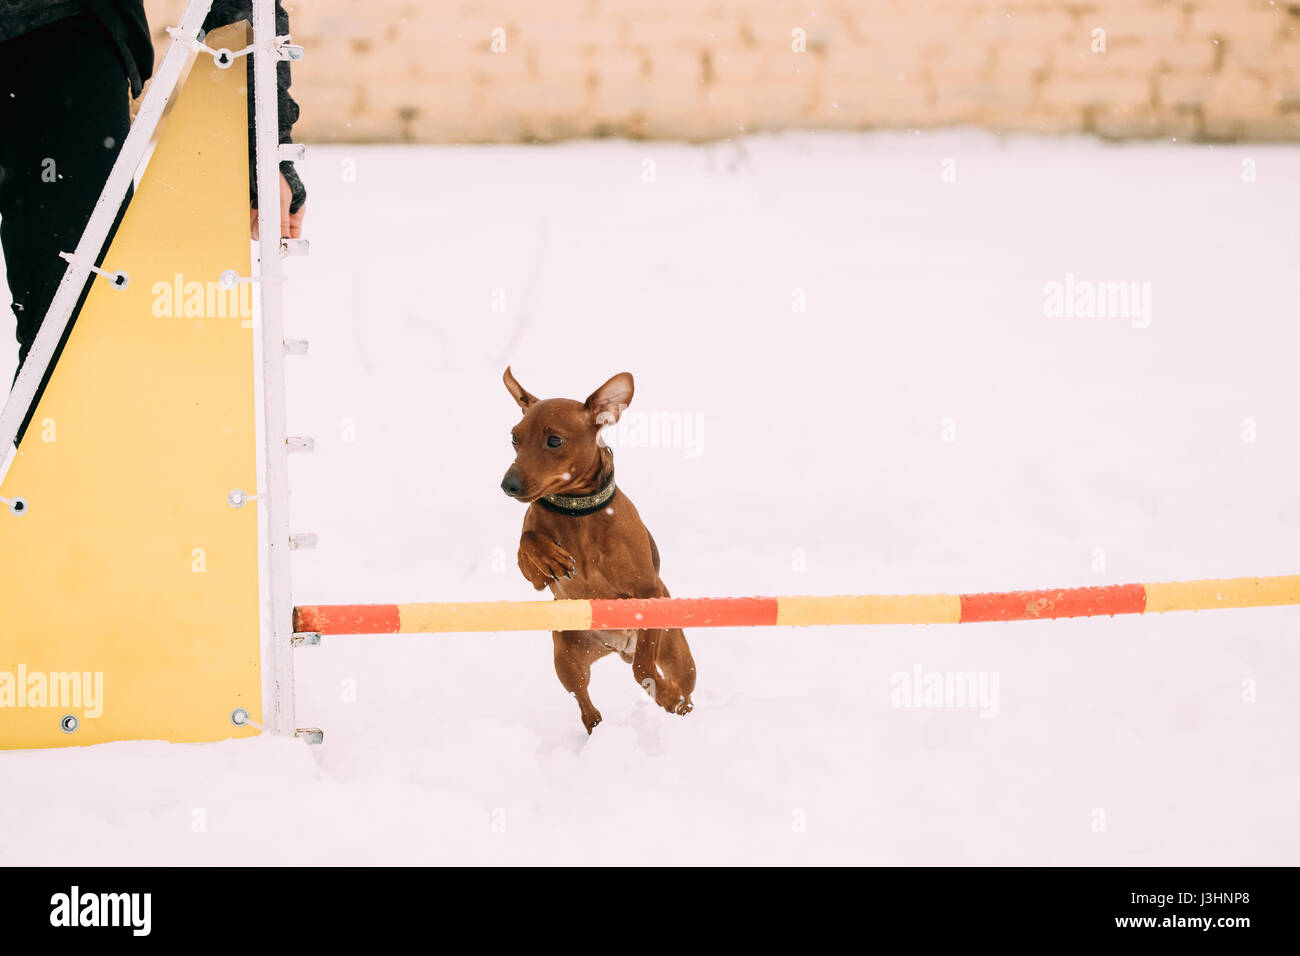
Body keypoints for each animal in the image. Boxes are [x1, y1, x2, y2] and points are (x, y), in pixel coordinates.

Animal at [499, 369, 702, 733]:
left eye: (554, 441)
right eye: (514, 439)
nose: (508, 485)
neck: (576, 512)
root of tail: (621, 647)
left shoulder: (648, 591)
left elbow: (644, 670)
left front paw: (664, 695)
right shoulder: (536, 579)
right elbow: (527, 543)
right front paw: (552, 556)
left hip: (676, 654)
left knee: (678, 685)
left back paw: (678, 705)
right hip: (567, 657)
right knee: (585, 705)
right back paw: (597, 728)